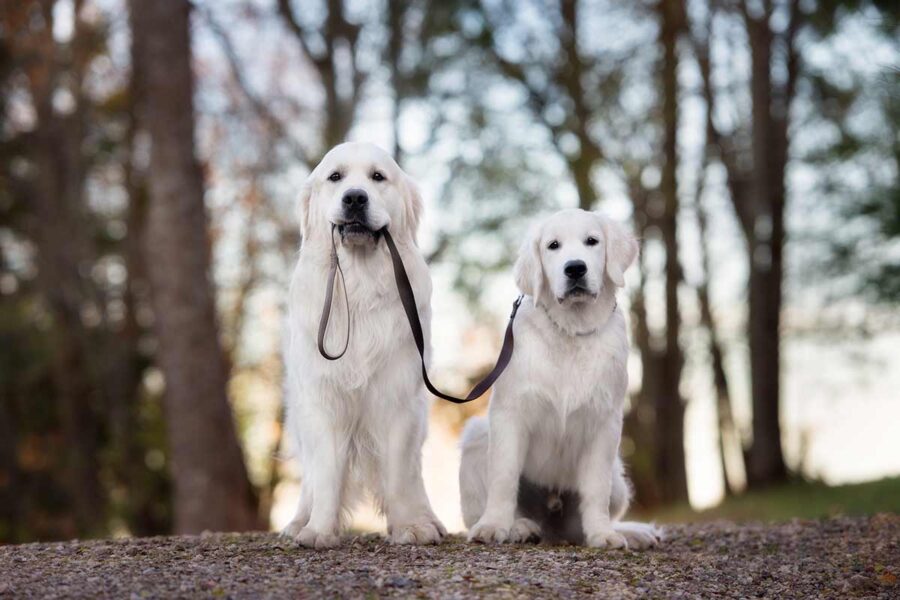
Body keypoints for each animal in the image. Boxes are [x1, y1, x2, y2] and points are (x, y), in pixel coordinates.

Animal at [284, 142, 444, 548]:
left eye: (377, 177)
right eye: (335, 177)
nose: (355, 198)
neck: (359, 285)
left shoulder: (398, 399)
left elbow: (399, 474)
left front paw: (411, 527)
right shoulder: (322, 400)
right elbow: (325, 474)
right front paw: (319, 530)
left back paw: (430, 519)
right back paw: (298, 521)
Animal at [460, 209, 656, 552]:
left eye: (592, 241)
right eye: (553, 246)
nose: (575, 268)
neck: (572, 330)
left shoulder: (605, 423)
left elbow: (595, 488)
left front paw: (602, 534)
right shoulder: (509, 414)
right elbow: (503, 476)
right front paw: (494, 525)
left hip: (618, 476)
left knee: (581, 524)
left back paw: (632, 532)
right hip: (476, 436)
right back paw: (519, 527)